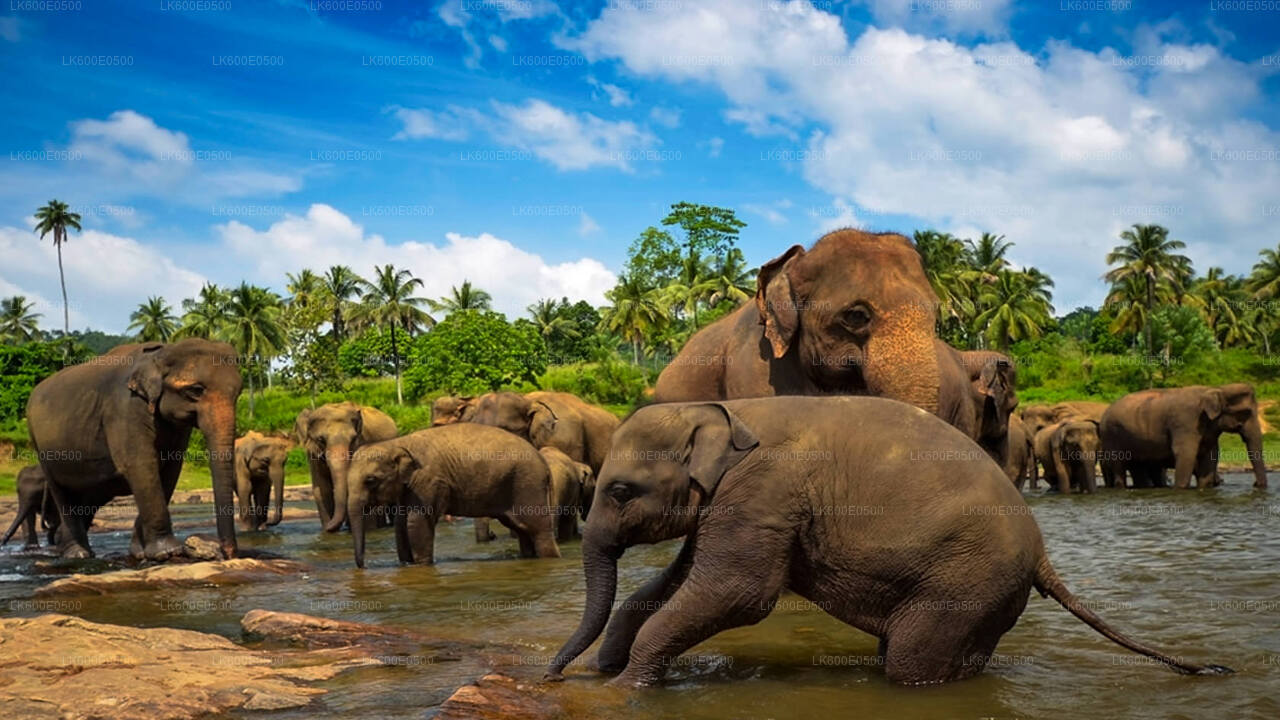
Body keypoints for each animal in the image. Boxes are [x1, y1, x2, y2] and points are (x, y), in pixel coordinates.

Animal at [26, 340, 242, 560]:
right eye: (196, 390)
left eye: (239, 392)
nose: (228, 553)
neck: (161, 353)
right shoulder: (125, 409)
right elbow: (141, 467)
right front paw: (167, 552)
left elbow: (170, 470)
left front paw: (139, 553)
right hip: (41, 448)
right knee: (63, 494)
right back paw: (78, 554)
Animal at [295, 402, 397, 532]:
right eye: (321, 439)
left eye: (353, 439)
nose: (327, 527)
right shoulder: (312, 455)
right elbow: (322, 489)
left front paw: (369, 530)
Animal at [345, 423, 560, 567]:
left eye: (370, 480)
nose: (363, 566)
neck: (397, 443)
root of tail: (544, 463)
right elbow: (400, 523)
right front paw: (407, 564)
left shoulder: (428, 480)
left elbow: (416, 522)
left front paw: (422, 566)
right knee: (522, 529)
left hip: (528, 485)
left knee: (538, 530)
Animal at [545, 397, 1229, 687]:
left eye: (621, 491)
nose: (553, 675)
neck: (720, 409)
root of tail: (1042, 554)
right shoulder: (732, 503)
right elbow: (681, 579)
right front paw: (610, 669)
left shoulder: (761, 492)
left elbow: (738, 593)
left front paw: (626, 687)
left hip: (967, 581)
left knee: (910, 664)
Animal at [1100, 384, 1267, 490]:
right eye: (1247, 413)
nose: (1255, 484)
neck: (1217, 388)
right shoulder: (1186, 423)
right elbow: (1185, 453)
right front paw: (1180, 488)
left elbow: (1211, 455)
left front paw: (1204, 487)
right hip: (1111, 436)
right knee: (1120, 466)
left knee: (1138, 467)